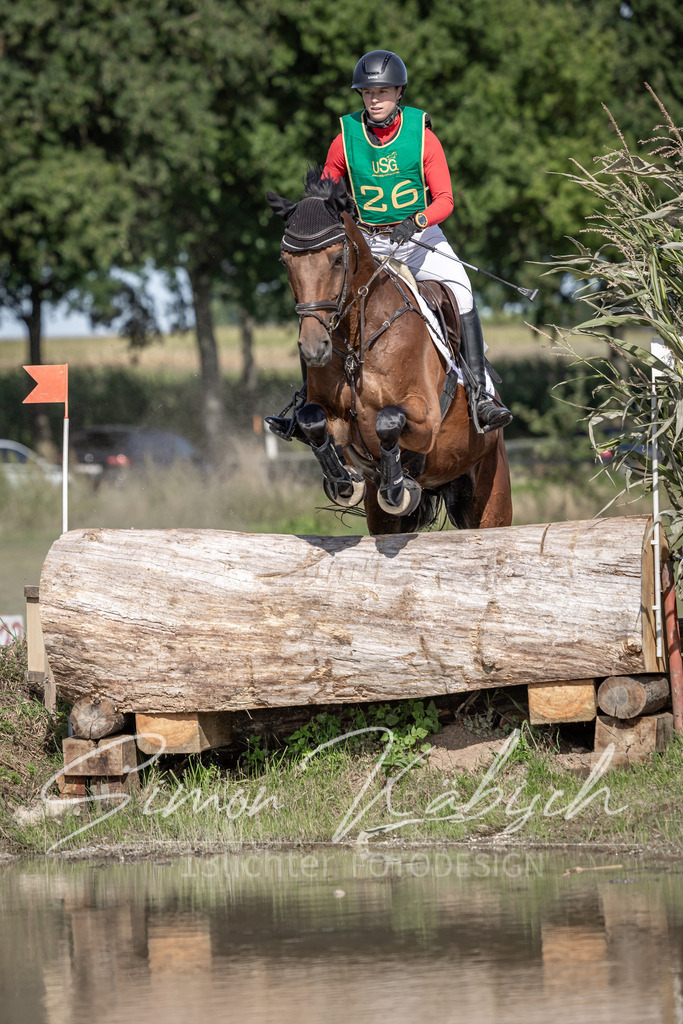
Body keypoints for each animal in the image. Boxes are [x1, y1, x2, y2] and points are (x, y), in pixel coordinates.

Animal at [267, 171, 512, 536]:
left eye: (338, 259)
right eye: (285, 262)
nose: (313, 348)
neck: (357, 339)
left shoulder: (426, 417)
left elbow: (388, 420)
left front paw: (397, 486)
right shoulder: (333, 417)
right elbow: (312, 420)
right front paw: (343, 482)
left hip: (491, 495)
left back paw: (485, 411)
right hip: (387, 518)